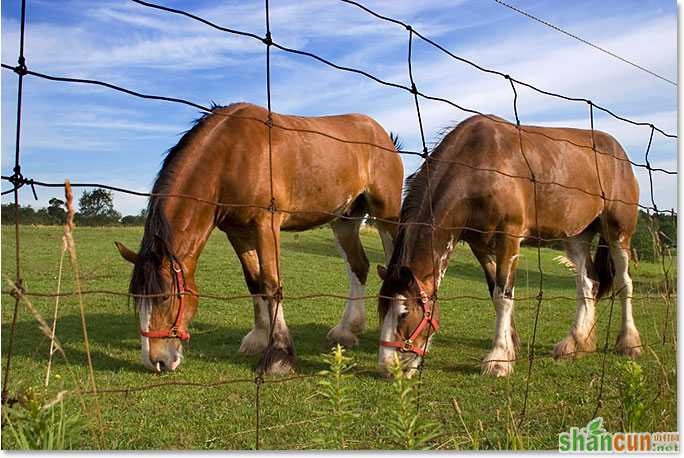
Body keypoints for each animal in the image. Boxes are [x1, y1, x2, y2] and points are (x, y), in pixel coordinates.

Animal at [115, 102, 404, 374]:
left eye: (164, 297)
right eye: (138, 298)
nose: (156, 361)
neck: (231, 156)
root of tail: (382, 134)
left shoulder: (266, 225)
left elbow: (271, 283)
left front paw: (279, 354)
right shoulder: (238, 233)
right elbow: (254, 282)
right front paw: (259, 337)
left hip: (386, 214)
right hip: (344, 221)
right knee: (359, 265)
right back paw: (347, 330)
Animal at [380, 113, 640, 376]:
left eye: (404, 315)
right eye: (380, 309)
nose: (389, 368)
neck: (478, 166)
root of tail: (619, 153)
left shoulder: (509, 237)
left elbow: (503, 295)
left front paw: (498, 359)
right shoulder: (479, 245)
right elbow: (494, 291)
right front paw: (510, 344)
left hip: (618, 233)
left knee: (624, 283)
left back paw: (629, 344)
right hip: (577, 236)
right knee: (588, 284)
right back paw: (575, 344)